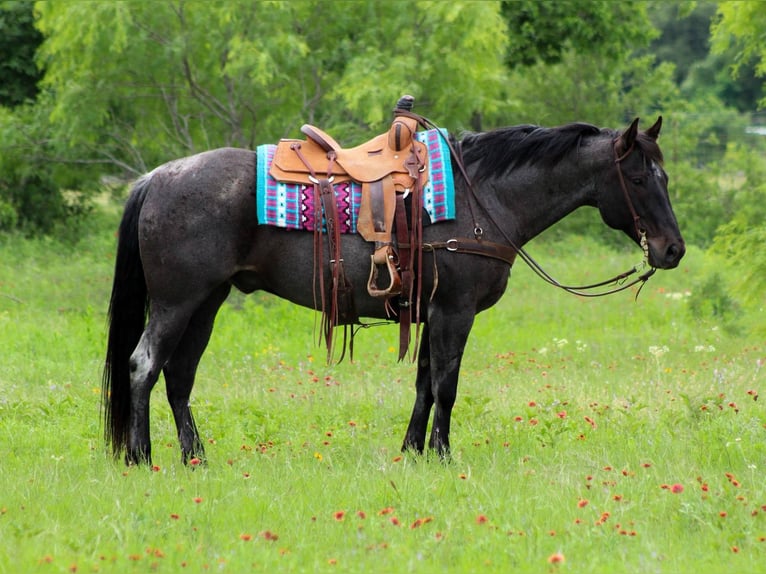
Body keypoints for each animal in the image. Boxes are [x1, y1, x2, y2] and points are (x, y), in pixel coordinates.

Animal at [102, 116, 685, 465]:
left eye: (665, 177)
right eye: (637, 178)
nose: (672, 249)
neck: (482, 197)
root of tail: (156, 178)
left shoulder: (431, 312)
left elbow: (425, 384)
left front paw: (413, 452)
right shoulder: (456, 311)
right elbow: (446, 386)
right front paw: (443, 455)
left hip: (207, 301)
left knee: (178, 376)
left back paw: (194, 457)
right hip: (178, 302)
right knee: (143, 366)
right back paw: (140, 457)